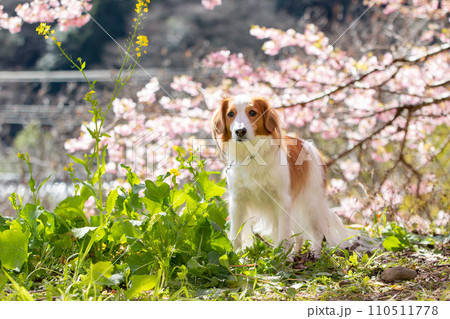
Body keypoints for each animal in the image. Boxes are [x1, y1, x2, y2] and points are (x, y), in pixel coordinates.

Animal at [212, 95, 356, 258]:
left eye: (252, 112)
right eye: (230, 114)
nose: (240, 131)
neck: (252, 155)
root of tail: (310, 146)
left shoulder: (282, 200)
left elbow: (283, 233)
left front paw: (281, 256)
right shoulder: (238, 202)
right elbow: (236, 234)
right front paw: (235, 256)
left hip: (311, 202)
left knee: (317, 231)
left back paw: (315, 254)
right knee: (299, 235)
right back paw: (296, 252)